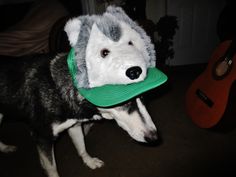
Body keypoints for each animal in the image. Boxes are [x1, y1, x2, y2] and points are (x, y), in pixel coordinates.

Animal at [0, 5, 159, 177]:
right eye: (125, 103)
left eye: (143, 98)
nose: (154, 137)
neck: (60, 91)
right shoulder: (43, 138)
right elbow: (52, 168)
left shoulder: (74, 125)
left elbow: (81, 146)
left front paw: (89, 161)